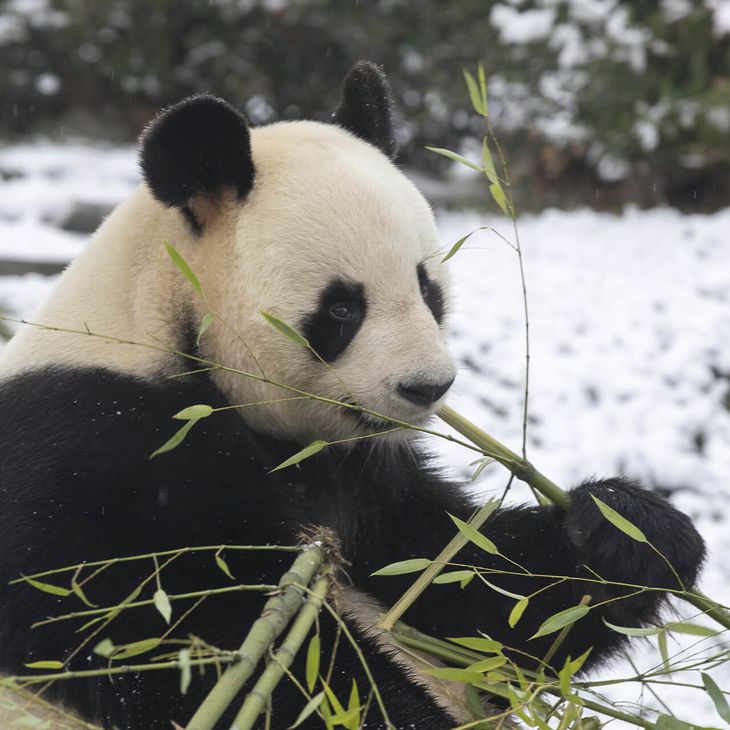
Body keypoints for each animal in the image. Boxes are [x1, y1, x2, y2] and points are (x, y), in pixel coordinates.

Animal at [0, 61, 705, 729]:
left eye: (427, 288)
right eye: (341, 309)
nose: (428, 386)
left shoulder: (362, 478)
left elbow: (475, 593)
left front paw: (626, 529)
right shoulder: (99, 449)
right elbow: (189, 645)